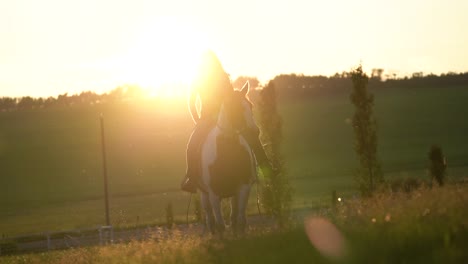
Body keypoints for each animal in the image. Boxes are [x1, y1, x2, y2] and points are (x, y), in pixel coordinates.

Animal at [198, 82, 258, 235]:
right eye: (235, 107)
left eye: (251, 106)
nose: (255, 132)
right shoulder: (213, 193)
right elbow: (220, 225)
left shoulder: (243, 187)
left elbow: (240, 220)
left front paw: (241, 237)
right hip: (204, 194)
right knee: (210, 217)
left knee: (233, 215)